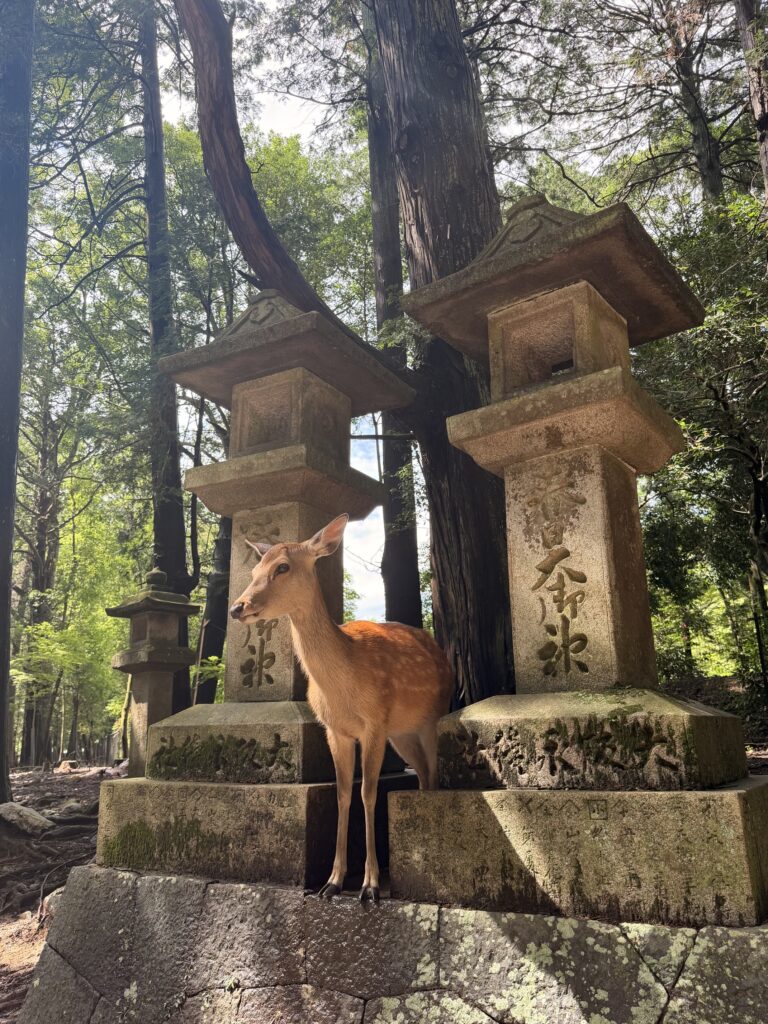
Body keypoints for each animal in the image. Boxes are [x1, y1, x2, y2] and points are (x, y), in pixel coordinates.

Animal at [230, 513, 453, 902]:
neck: (342, 687)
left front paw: (371, 885)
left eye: (282, 566)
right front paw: (332, 882)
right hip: (402, 734)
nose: (237, 607)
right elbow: (343, 793)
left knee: (434, 775)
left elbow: (368, 793)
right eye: (256, 567)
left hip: (431, 720)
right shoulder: (335, 730)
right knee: (424, 775)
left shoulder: (374, 723)